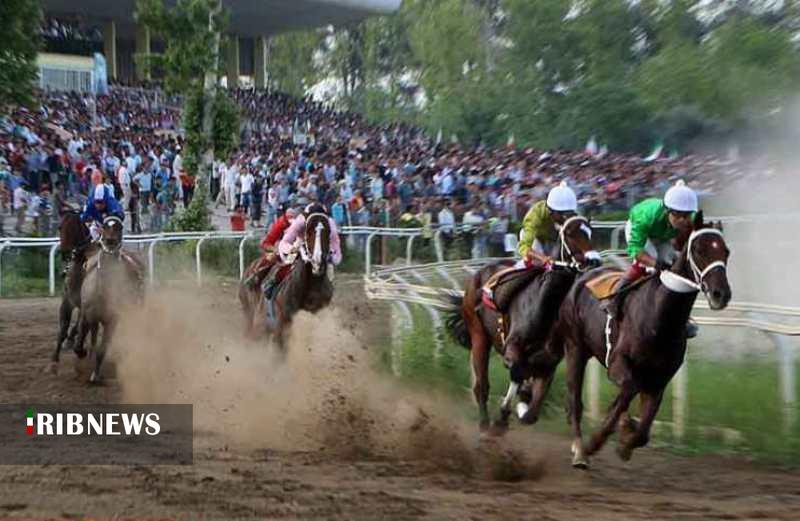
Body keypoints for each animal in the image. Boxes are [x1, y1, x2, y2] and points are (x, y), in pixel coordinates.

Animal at [73, 214, 141, 382]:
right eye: (104, 226)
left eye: (120, 227)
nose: (110, 240)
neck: (103, 290)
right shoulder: (88, 315)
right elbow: (81, 340)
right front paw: (82, 354)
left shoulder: (112, 320)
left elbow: (102, 349)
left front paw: (95, 375)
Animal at [444, 215, 600, 430]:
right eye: (570, 233)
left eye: (590, 232)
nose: (594, 260)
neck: (544, 305)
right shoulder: (512, 347)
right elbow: (517, 372)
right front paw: (503, 414)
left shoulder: (548, 362)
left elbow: (531, 413)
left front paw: (522, 405)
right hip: (478, 335)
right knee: (481, 386)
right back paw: (485, 424)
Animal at [556, 211, 732, 468]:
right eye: (699, 249)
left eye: (726, 251)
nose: (721, 294)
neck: (660, 319)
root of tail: (584, 274)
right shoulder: (618, 365)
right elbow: (624, 396)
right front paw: (595, 442)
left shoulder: (659, 379)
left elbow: (643, 432)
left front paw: (626, 440)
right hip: (575, 348)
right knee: (575, 402)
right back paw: (579, 450)